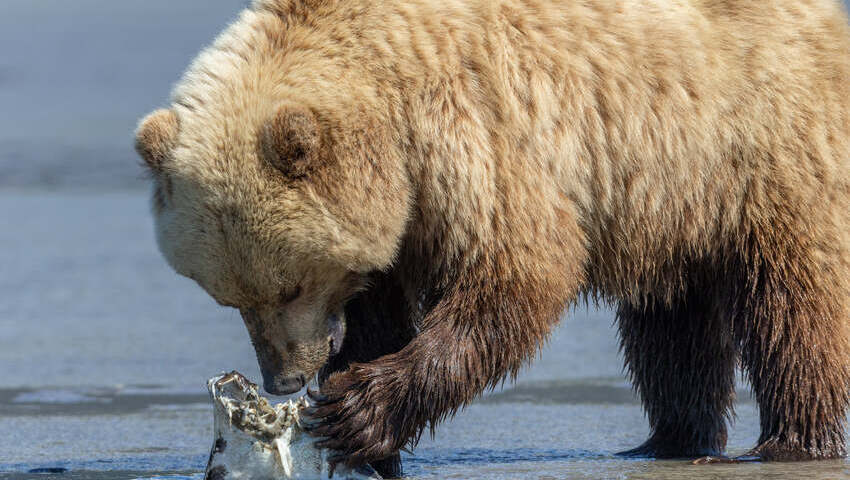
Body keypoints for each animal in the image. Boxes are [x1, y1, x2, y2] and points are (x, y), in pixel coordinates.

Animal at [134, 0, 848, 476]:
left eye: (290, 286)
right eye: (228, 296)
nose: (283, 378)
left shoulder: (477, 134)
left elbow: (516, 276)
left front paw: (355, 408)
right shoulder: (401, 220)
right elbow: (379, 308)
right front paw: (362, 428)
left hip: (763, 150)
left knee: (795, 310)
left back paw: (792, 440)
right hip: (673, 202)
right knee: (672, 328)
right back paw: (669, 438)